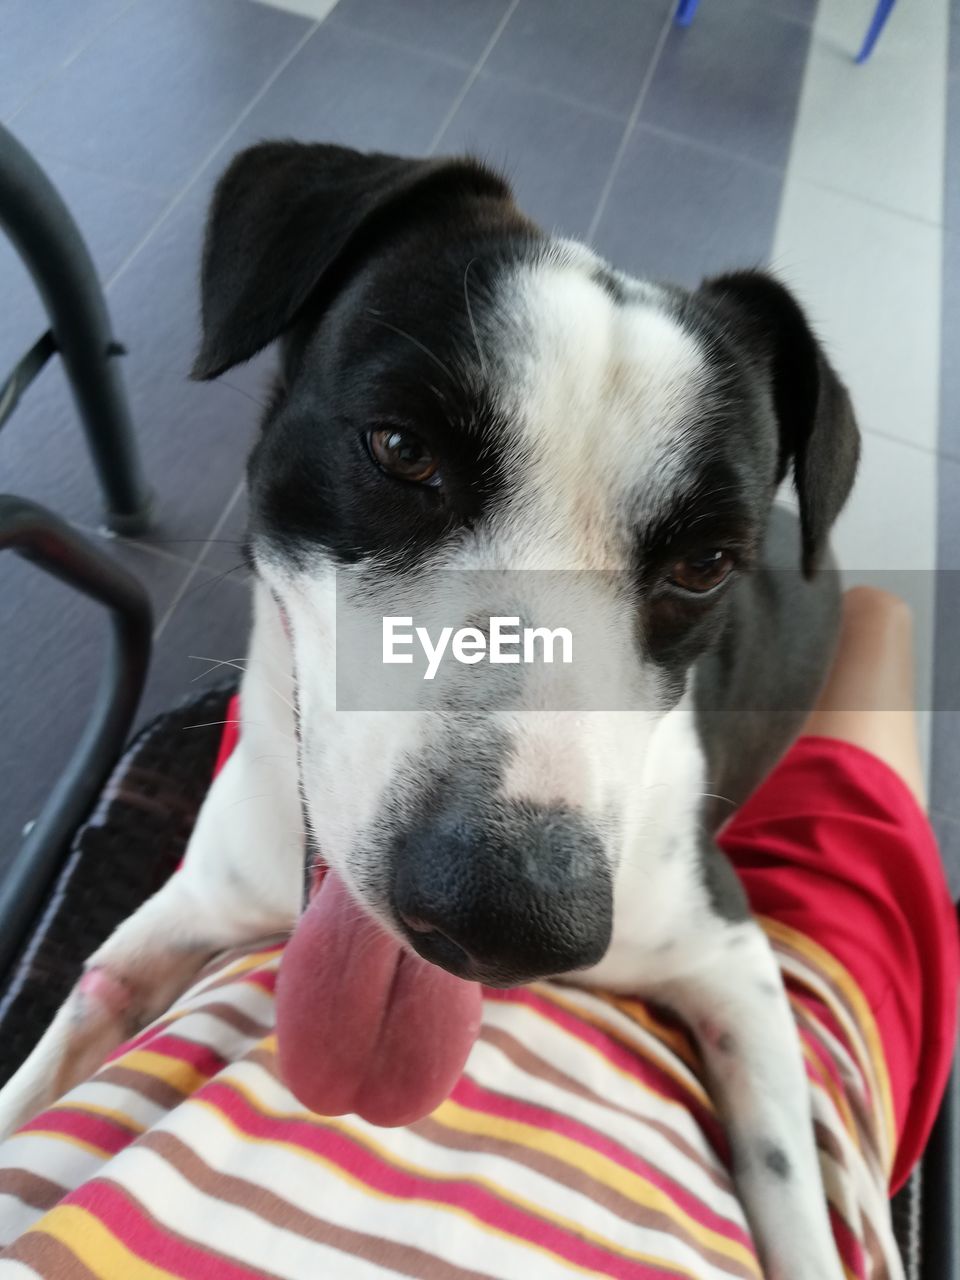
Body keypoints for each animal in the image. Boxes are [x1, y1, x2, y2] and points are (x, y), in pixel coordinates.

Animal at [0, 145, 860, 1274]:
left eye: (707, 562)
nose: (506, 914)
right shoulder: (182, 911)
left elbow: (795, 1198)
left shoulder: (731, 958)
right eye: (402, 448)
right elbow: (55, 1049)